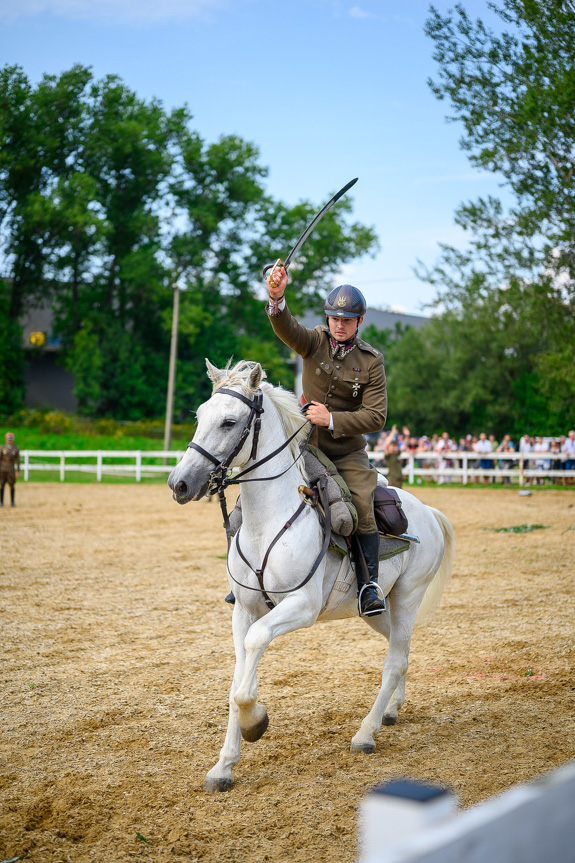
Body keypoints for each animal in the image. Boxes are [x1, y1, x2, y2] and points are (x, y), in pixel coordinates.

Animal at [166, 360, 454, 796]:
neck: (268, 521)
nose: (179, 484)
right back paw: (391, 710)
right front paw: (223, 767)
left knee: (393, 661)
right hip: (378, 611)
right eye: (200, 416)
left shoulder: (300, 607)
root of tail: (428, 512)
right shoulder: (243, 611)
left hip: (406, 598)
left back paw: (365, 734)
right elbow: (236, 682)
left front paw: (256, 722)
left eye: (229, 422)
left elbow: (251, 659)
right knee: (400, 652)